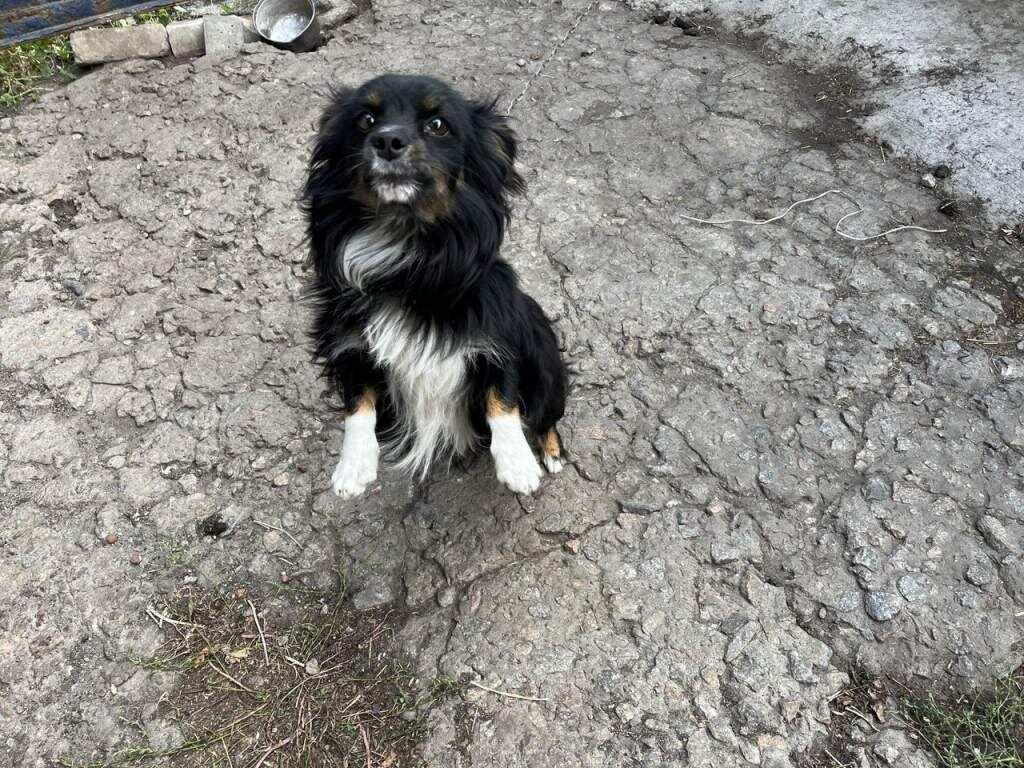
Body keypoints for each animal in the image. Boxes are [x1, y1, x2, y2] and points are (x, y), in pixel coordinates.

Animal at [302, 74, 567, 498]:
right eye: (365, 119)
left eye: (438, 125)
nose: (387, 140)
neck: (405, 249)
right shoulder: (349, 345)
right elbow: (357, 403)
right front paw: (353, 467)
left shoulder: (499, 336)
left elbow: (503, 396)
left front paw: (517, 463)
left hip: (546, 365)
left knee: (546, 415)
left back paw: (551, 451)